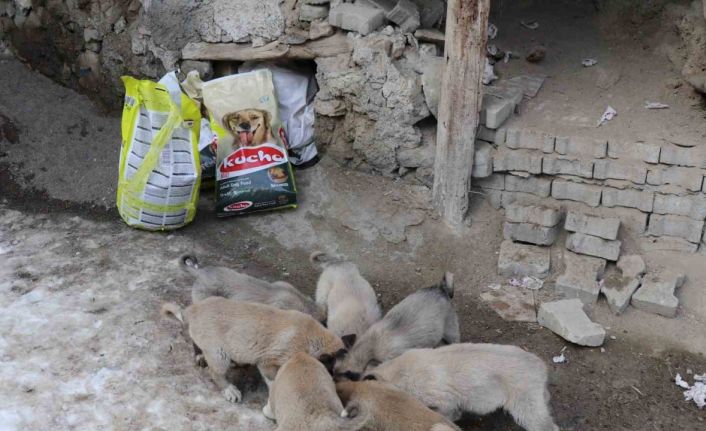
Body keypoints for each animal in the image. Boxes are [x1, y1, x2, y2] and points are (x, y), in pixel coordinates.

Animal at [160, 297, 352, 404]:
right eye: (329, 371)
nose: (334, 383)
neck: (312, 336)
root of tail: (192, 309)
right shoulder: (267, 362)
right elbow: (274, 378)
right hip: (219, 353)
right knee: (216, 374)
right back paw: (230, 390)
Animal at [363, 343, 559, 431]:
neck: (397, 371)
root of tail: (540, 365)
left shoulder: (443, 399)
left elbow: (445, 414)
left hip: (525, 403)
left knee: (545, 425)